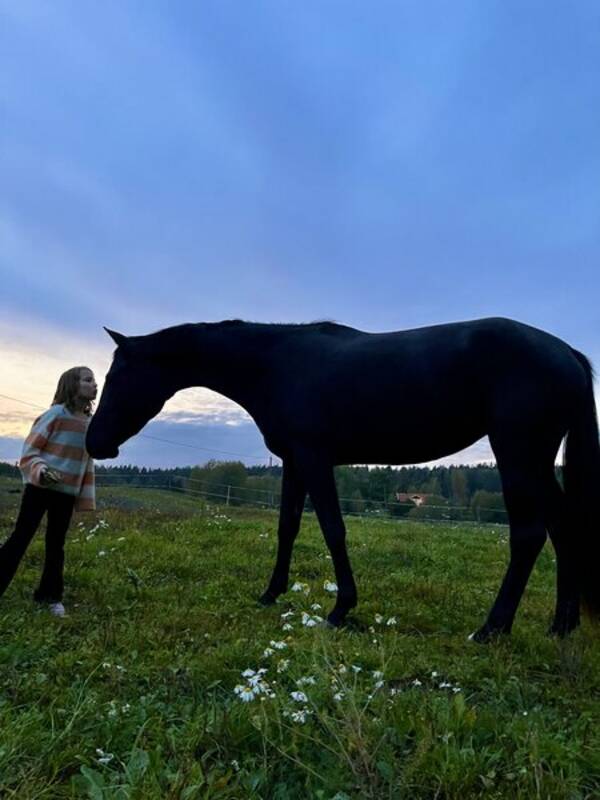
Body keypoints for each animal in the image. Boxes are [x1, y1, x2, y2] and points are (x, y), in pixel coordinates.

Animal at [85, 316, 600, 640]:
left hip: (519, 456)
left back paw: (492, 629)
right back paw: (561, 627)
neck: (276, 364)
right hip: (535, 463)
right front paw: (270, 593)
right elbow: (287, 528)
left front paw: (340, 609)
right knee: (564, 530)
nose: (95, 443)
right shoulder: (293, 462)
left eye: (116, 378)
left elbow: (333, 529)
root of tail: (566, 352)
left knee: (529, 535)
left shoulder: (315, 459)